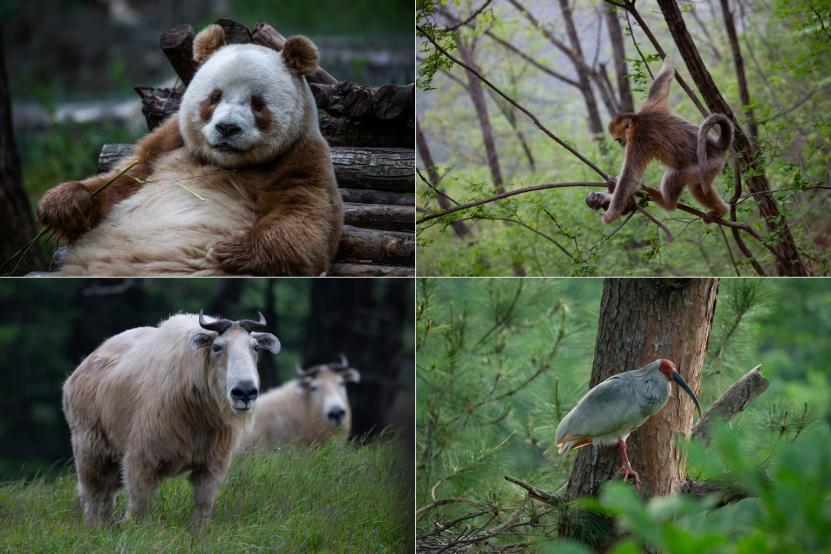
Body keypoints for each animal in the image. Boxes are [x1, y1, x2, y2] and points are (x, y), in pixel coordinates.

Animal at [37, 23, 342, 274]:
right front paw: (65, 203)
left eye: (258, 104)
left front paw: (229, 249)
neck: (224, 162)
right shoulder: (168, 142)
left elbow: (306, 227)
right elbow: (123, 179)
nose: (227, 128)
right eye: (214, 97)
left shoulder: (301, 158)